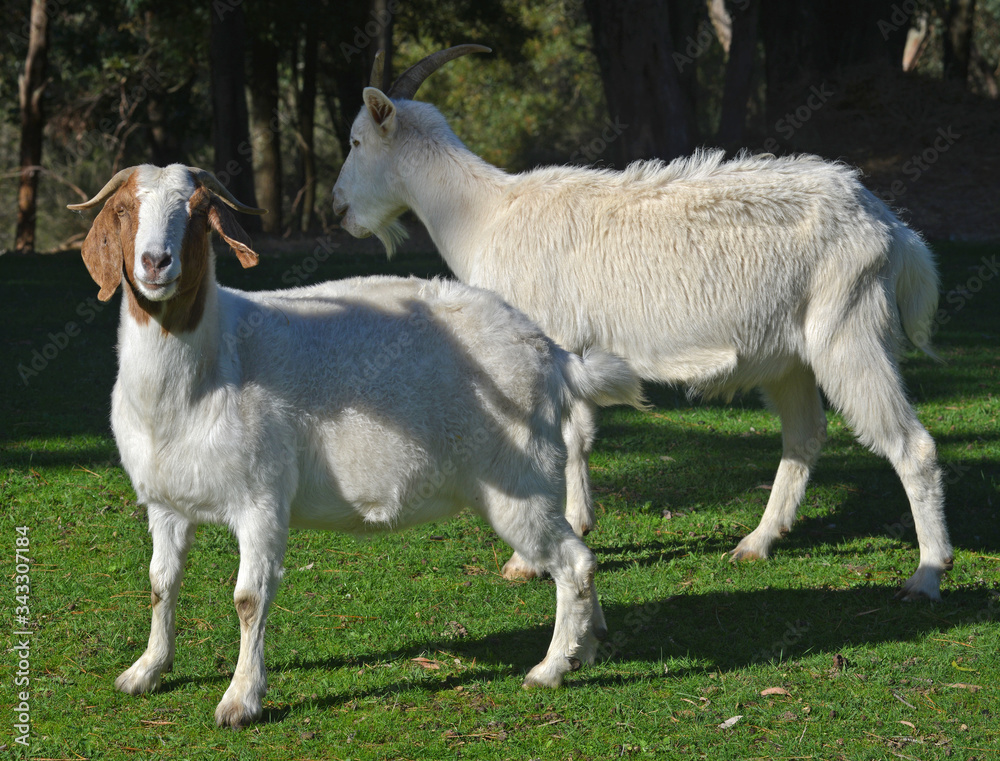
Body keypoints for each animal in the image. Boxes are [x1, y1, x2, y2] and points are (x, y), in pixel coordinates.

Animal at [68, 164, 643, 726]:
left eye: (199, 212)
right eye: (123, 210)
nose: (156, 262)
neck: (209, 370)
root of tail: (553, 355)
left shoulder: (261, 499)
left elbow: (249, 599)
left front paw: (240, 700)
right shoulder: (164, 503)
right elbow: (160, 584)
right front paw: (146, 671)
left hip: (519, 482)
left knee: (574, 562)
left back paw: (550, 668)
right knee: (583, 558)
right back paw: (588, 647)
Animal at [331, 46, 953, 601]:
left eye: (357, 141)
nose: (337, 209)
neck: (482, 214)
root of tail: (889, 225)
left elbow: (555, 444)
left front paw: (526, 560)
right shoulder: (574, 351)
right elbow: (578, 438)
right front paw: (580, 522)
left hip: (849, 331)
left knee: (912, 446)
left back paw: (926, 575)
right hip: (791, 357)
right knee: (803, 437)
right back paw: (755, 543)